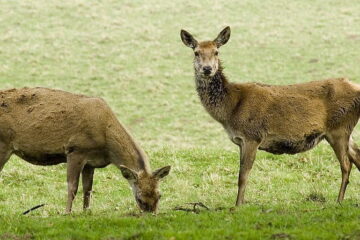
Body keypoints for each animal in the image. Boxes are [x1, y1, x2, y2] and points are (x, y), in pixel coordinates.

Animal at [0, 87, 170, 213]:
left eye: (159, 195)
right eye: (139, 198)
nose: (152, 214)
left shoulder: (90, 161)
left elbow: (88, 188)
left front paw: (86, 212)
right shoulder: (75, 150)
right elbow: (73, 186)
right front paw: (67, 212)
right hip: (3, 143)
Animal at [181, 26, 360, 206]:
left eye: (216, 51)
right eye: (196, 52)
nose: (207, 69)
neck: (230, 109)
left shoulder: (253, 136)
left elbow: (243, 176)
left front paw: (237, 205)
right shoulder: (240, 141)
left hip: (339, 128)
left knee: (346, 165)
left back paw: (339, 200)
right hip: (345, 130)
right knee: (357, 156)